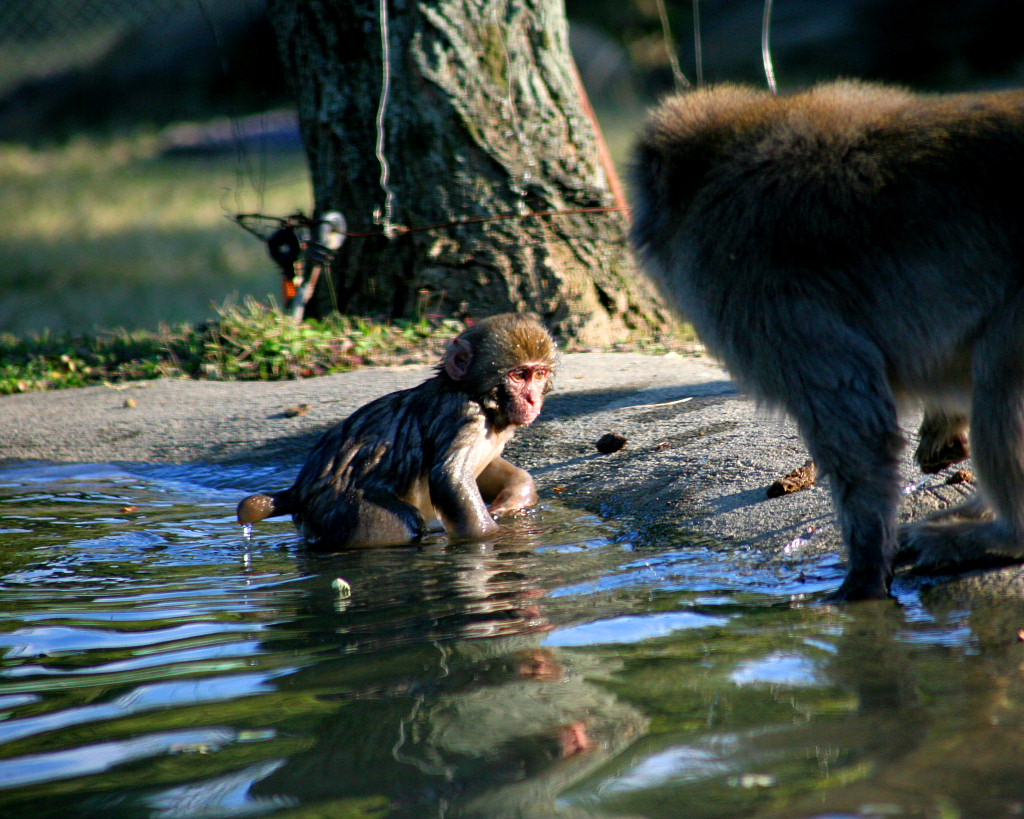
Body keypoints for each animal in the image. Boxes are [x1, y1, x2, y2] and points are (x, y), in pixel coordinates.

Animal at [236, 313, 557, 548]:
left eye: (539, 374)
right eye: (519, 376)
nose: (532, 400)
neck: (477, 396)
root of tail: (298, 491)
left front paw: (516, 494)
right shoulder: (464, 415)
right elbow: (449, 478)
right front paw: (491, 537)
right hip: (348, 509)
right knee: (400, 522)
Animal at [626, 81, 1024, 601]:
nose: (637, 231)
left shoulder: (756, 291)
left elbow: (859, 430)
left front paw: (862, 578)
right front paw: (941, 431)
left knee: (999, 372)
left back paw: (1001, 533)